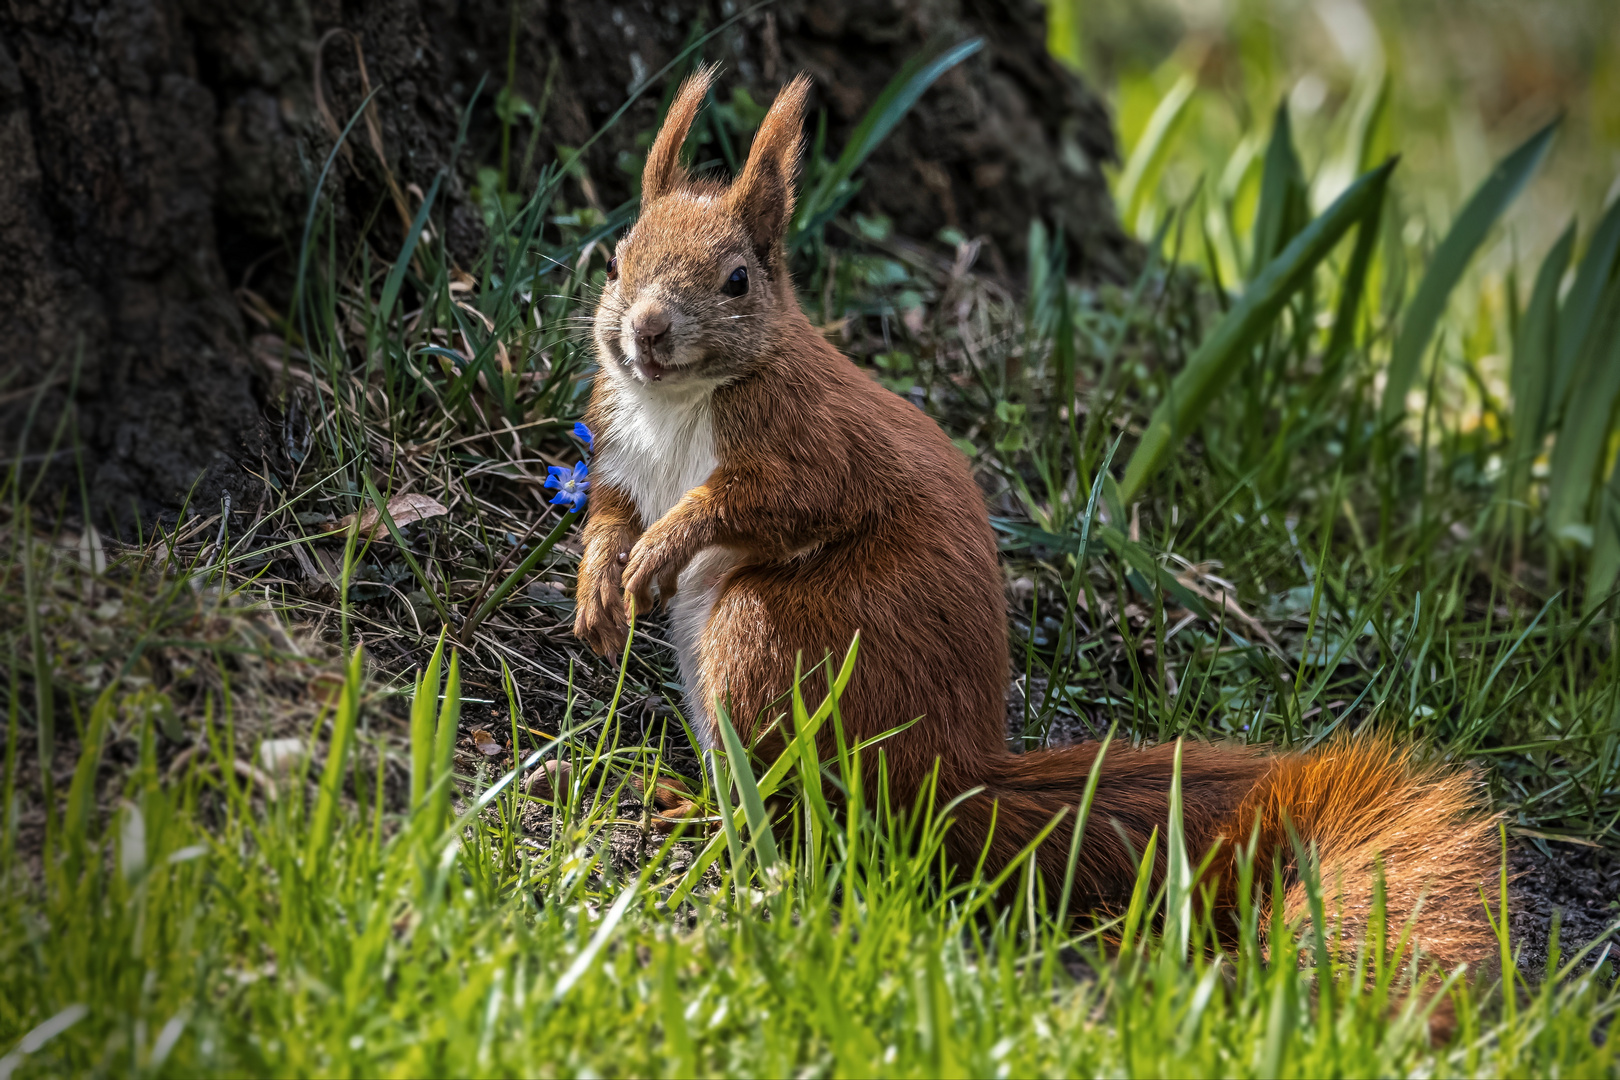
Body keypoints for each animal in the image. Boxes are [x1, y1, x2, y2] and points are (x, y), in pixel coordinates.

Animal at [576, 69, 1496, 971]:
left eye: (736, 279)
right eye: (618, 257)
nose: (647, 332)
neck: (678, 400)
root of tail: (948, 783)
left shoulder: (811, 448)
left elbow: (759, 503)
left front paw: (660, 550)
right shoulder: (616, 443)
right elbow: (609, 512)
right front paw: (599, 591)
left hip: (771, 639)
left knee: (812, 817)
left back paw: (708, 820)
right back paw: (682, 796)